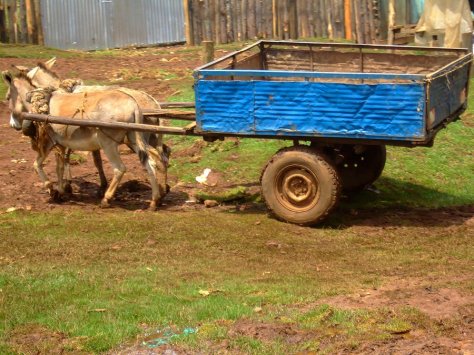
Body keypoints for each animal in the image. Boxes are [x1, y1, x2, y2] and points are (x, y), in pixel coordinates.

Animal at [3, 70, 168, 210]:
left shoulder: (50, 142)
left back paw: (106, 199)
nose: (13, 125)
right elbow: (59, 167)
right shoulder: (61, 144)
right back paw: (155, 200)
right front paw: (62, 191)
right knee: (151, 162)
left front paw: (52, 190)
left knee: (120, 168)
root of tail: (134, 104)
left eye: (7, 97)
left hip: (108, 143)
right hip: (134, 139)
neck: (40, 103)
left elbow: (37, 165)